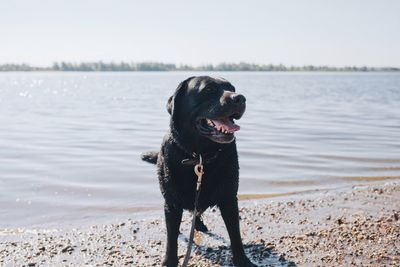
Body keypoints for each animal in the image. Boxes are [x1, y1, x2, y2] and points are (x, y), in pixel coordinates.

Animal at [142, 76, 256, 266]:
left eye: (232, 88)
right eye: (208, 90)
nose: (240, 98)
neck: (200, 156)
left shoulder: (229, 199)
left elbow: (235, 234)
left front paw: (242, 261)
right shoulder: (171, 203)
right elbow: (171, 239)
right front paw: (169, 261)